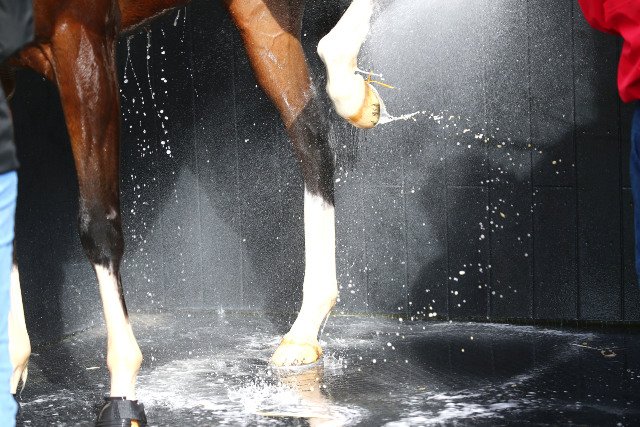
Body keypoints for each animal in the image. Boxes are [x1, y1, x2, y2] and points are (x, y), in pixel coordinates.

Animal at [1, 0, 383, 424]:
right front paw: (12, 370)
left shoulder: (80, 38)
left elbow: (98, 223)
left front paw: (122, 396)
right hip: (261, 20)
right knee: (312, 143)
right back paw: (304, 330)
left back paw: (349, 87)